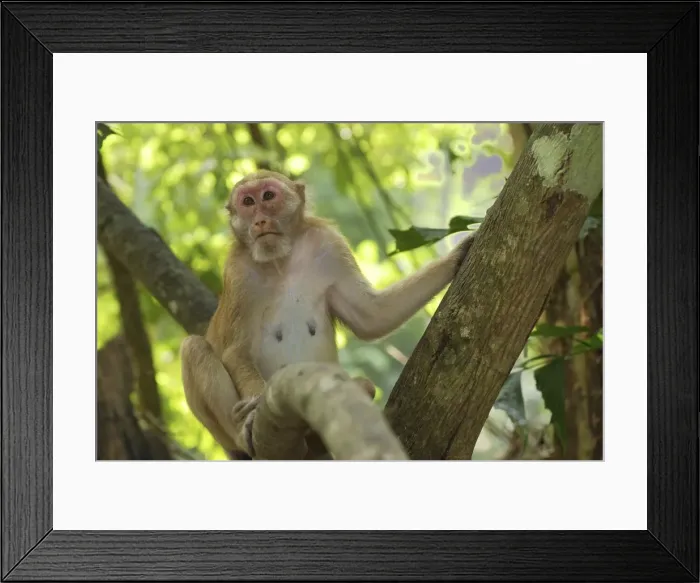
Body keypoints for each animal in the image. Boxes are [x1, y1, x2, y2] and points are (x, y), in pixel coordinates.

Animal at [180, 169, 476, 459]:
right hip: (223, 438)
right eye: (248, 202)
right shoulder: (237, 272)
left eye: (268, 196)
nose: (260, 221)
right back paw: (244, 431)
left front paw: (457, 256)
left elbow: (371, 317)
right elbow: (235, 351)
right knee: (193, 347)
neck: (280, 262)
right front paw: (253, 410)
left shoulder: (329, 245)